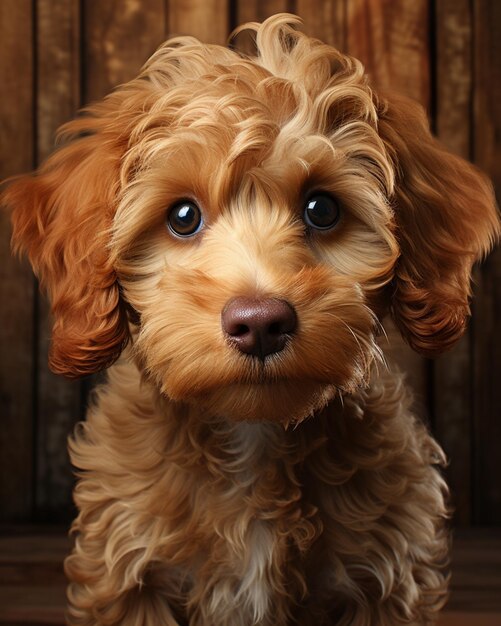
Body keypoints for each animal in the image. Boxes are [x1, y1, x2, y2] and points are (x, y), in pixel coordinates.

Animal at [4, 13, 500, 624]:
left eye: (322, 208)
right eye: (183, 216)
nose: (260, 322)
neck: (255, 434)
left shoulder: (389, 576)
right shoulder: (129, 574)